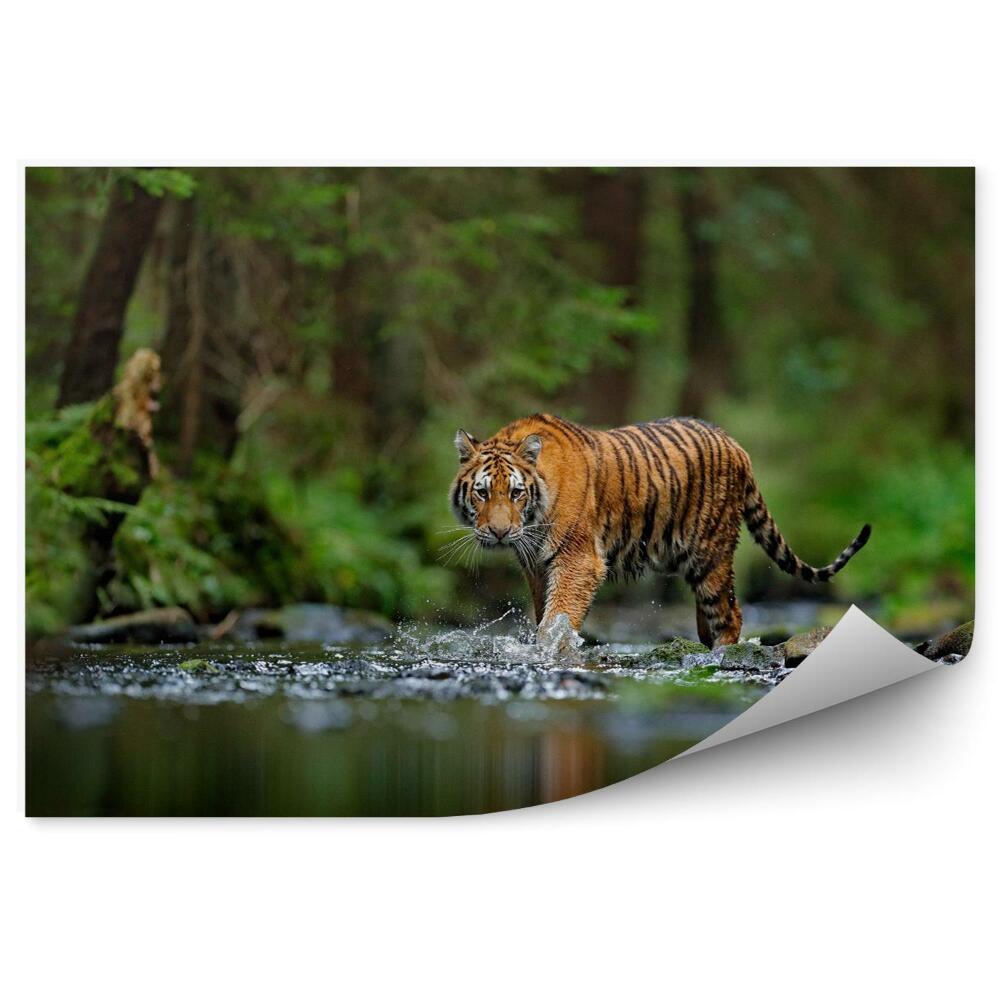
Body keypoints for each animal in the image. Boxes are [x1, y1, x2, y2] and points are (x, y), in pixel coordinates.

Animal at [449, 413, 870, 648]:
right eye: (483, 492)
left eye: (516, 493)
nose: (500, 533)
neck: (533, 520)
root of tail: (735, 444)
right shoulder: (536, 565)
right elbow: (544, 614)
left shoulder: (577, 560)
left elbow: (558, 617)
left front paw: (550, 650)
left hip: (711, 554)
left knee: (730, 613)